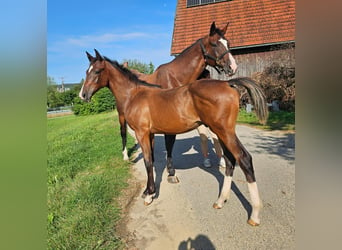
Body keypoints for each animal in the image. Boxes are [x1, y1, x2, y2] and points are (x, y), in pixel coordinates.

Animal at [79, 49, 268, 227]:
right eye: (86, 71)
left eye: (97, 71)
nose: (83, 95)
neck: (135, 95)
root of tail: (228, 83)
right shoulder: (150, 134)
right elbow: (152, 161)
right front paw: (147, 191)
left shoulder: (142, 133)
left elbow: (148, 162)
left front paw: (149, 195)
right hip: (221, 132)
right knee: (230, 161)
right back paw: (220, 200)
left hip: (224, 131)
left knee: (244, 159)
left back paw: (254, 215)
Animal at [119, 21, 236, 185]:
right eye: (214, 44)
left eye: (228, 43)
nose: (233, 67)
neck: (175, 78)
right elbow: (169, 144)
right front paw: (171, 172)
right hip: (121, 116)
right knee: (123, 132)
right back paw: (125, 156)